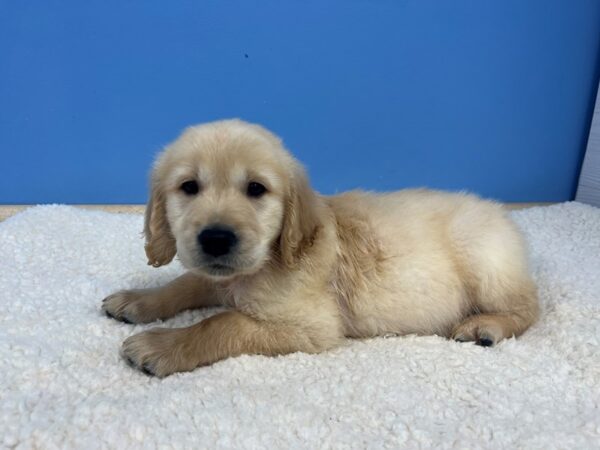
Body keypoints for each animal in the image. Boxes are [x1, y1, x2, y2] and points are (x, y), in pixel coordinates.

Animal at [102, 118, 540, 376]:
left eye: (256, 189)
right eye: (189, 187)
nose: (216, 238)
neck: (267, 261)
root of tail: (500, 212)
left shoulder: (312, 327)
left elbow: (223, 323)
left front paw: (162, 345)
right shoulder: (221, 276)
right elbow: (187, 283)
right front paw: (138, 300)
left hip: (484, 259)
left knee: (528, 308)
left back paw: (485, 327)